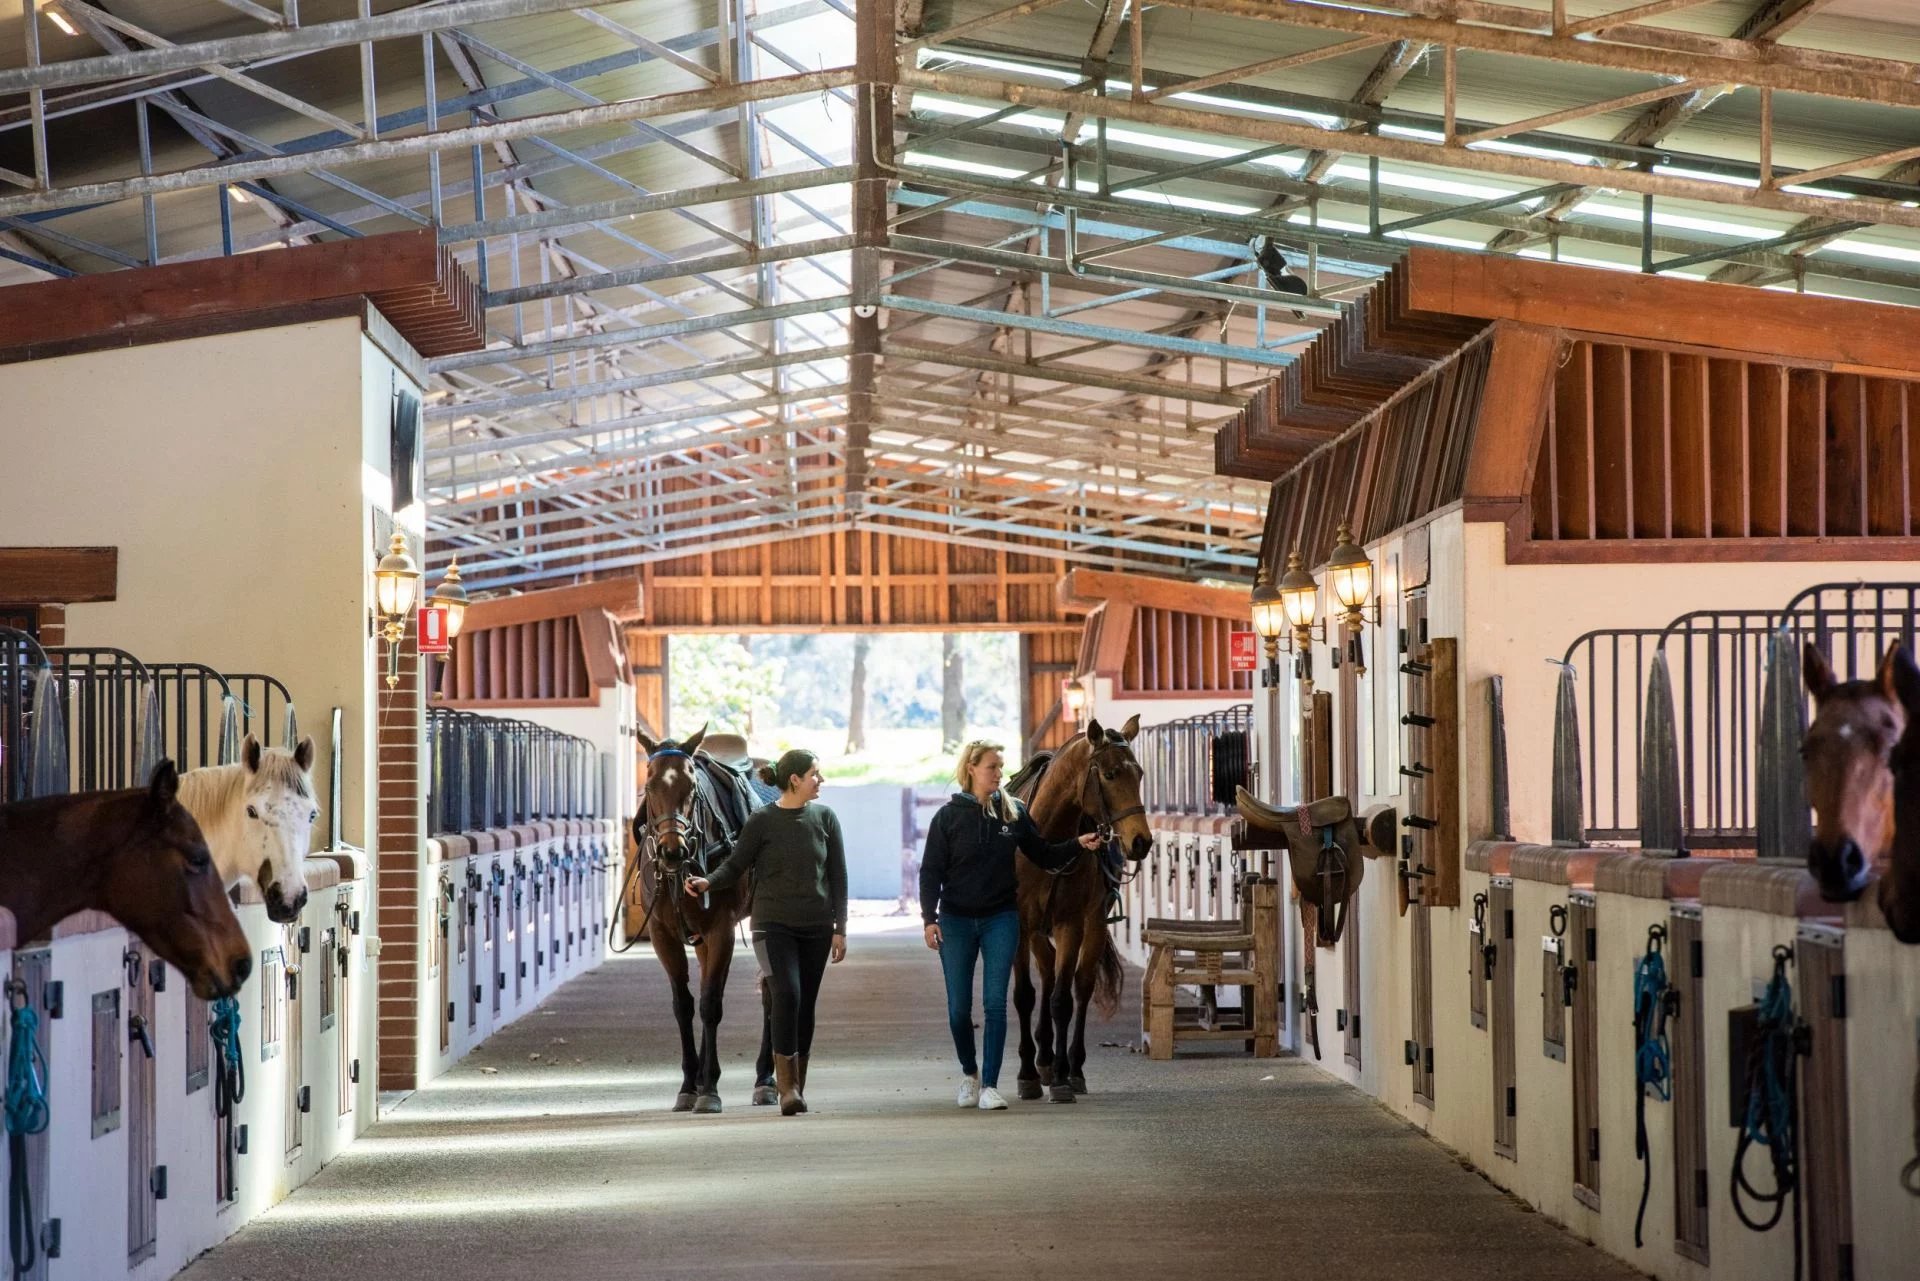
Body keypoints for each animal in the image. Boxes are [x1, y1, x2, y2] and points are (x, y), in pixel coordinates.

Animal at [633, 725, 775, 1113]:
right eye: (650, 784)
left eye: (692, 787)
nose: (672, 851)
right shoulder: (663, 934)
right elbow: (683, 1006)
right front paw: (689, 1086)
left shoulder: (720, 930)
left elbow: (711, 1004)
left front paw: (709, 1089)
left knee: (771, 990)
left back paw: (765, 1080)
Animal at [1013, 718, 1144, 1106]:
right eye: (1111, 774)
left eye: (1140, 774)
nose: (1141, 841)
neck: (1046, 841)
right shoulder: (1019, 926)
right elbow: (1025, 995)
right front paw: (1027, 1076)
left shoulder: (1070, 923)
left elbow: (1062, 1001)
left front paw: (1061, 1079)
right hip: (1037, 932)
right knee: (1047, 973)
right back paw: (1042, 1059)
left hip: (1094, 924)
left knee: (1080, 986)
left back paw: (1072, 1068)